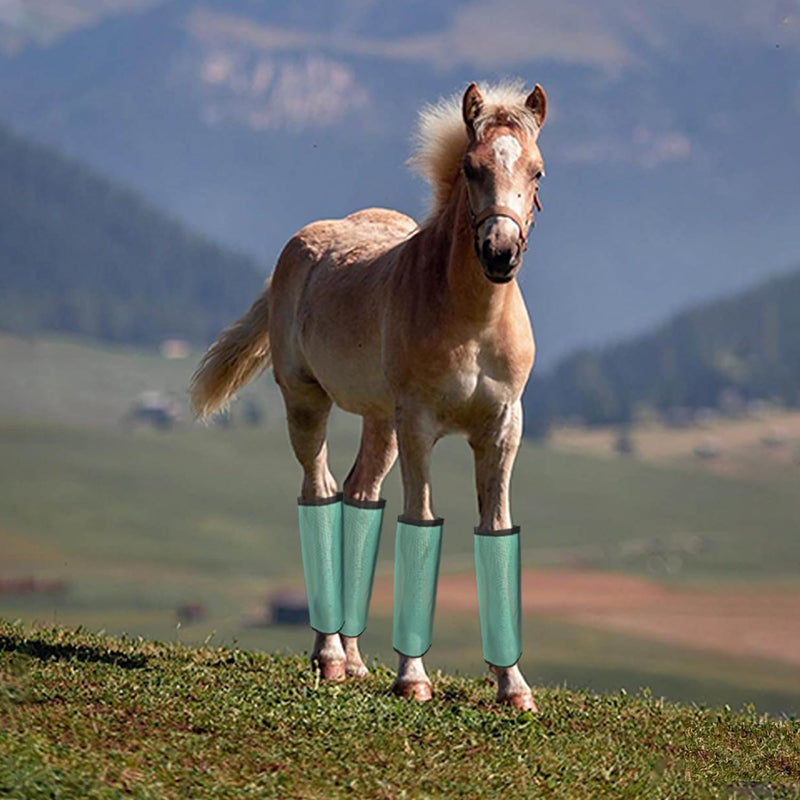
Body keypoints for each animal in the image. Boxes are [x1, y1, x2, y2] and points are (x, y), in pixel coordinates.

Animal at [191, 81, 547, 710]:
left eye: (537, 171)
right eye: (471, 167)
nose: (500, 253)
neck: (471, 320)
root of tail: (299, 247)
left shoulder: (503, 427)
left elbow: (495, 528)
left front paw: (514, 689)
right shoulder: (420, 425)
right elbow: (419, 521)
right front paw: (413, 680)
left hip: (380, 422)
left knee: (358, 498)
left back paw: (354, 661)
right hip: (308, 402)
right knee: (320, 491)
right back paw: (330, 658)